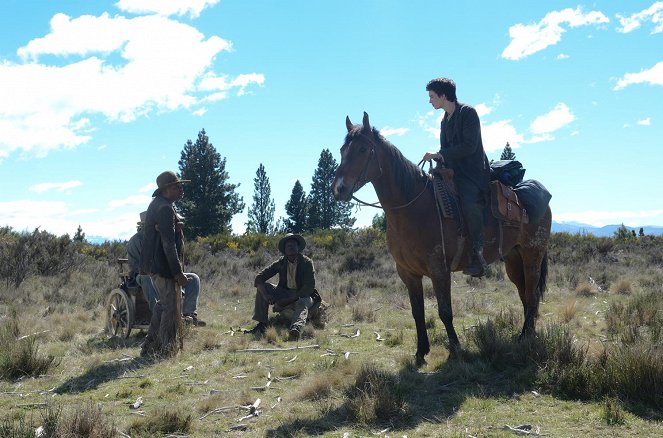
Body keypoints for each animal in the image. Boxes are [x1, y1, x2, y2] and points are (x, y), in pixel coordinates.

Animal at [334, 112, 552, 362]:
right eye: (342, 149)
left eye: (362, 149)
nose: (338, 189)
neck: (413, 207)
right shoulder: (408, 273)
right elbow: (417, 312)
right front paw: (421, 352)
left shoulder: (439, 270)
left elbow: (445, 312)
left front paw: (455, 348)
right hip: (514, 260)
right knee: (525, 295)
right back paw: (528, 333)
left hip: (532, 254)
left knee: (532, 295)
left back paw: (524, 337)